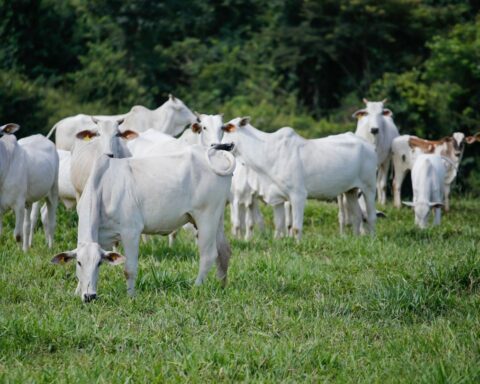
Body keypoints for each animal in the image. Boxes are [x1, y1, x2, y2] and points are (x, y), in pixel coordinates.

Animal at [0, 121, 58, 250]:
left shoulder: (19, 204)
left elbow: (17, 235)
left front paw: (18, 252)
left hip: (53, 192)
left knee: (51, 221)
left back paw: (50, 247)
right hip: (29, 201)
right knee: (27, 225)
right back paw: (26, 248)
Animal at [51, 146, 235, 302]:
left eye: (99, 263)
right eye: (79, 263)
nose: (90, 296)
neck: (103, 188)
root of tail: (216, 154)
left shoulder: (130, 232)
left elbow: (129, 268)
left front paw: (131, 296)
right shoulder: (103, 237)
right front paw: (77, 293)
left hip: (206, 217)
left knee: (208, 255)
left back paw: (196, 287)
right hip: (216, 218)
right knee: (224, 251)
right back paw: (222, 286)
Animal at [222, 117, 378, 240]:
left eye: (229, 128)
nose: (217, 145)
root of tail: (369, 146)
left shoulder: (298, 195)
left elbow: (296, 227)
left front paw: (297, 243)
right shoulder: (277, 198)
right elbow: (279, 226)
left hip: (369, 187)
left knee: (370, 216)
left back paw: (371, 239)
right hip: (351, 190)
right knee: (357, 216)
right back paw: (356, 239)